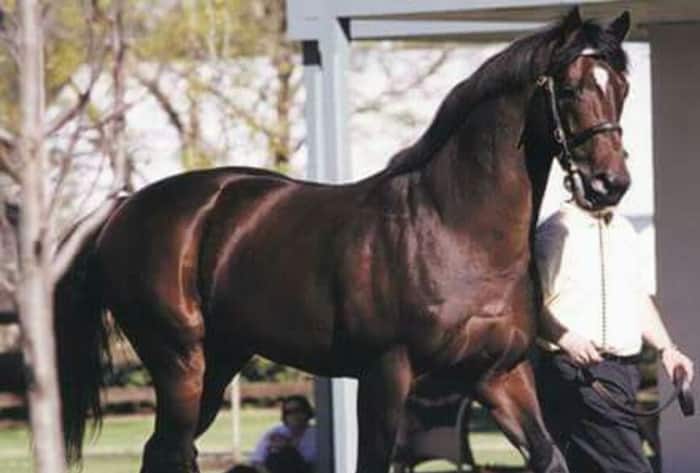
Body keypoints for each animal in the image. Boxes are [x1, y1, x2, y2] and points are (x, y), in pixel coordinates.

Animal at [55, 7, 632, 473]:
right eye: (571, 87)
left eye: (622, 88)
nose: (611, 183)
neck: (457, 231)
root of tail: (126, 207)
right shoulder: (385, 375)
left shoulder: (500, 375)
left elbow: (548, 455)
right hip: (179, 362)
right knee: (171, 450)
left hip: (218, 363)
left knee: (167, 451)